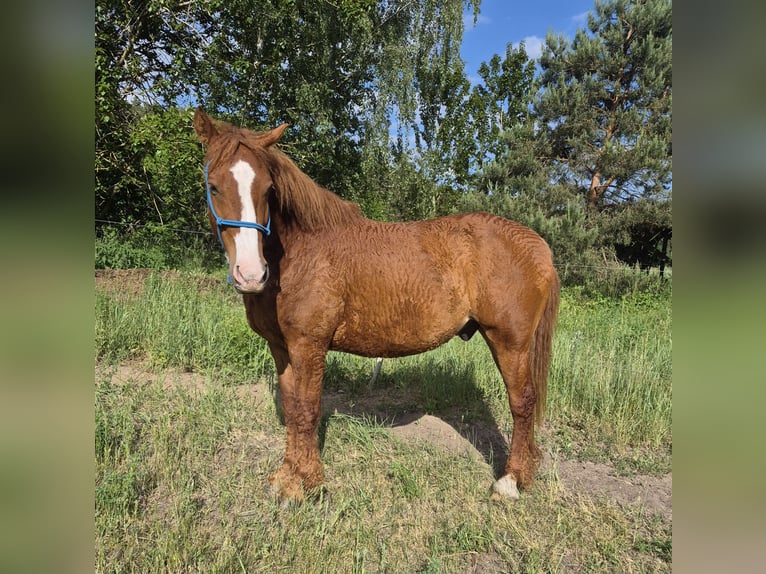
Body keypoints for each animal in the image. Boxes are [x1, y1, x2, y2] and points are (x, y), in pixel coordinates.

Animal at [193, 107, 559, 501]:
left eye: (268, 189)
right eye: (214, 186)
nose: (250, 273)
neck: (298, 255)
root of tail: (536, 243)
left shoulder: (309, 345)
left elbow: (308, 410)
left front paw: (307, 484)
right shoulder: (282, 347)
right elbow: (292, 409)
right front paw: (286, 477)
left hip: (510, 342)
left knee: (522, 402)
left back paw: (510, 481)